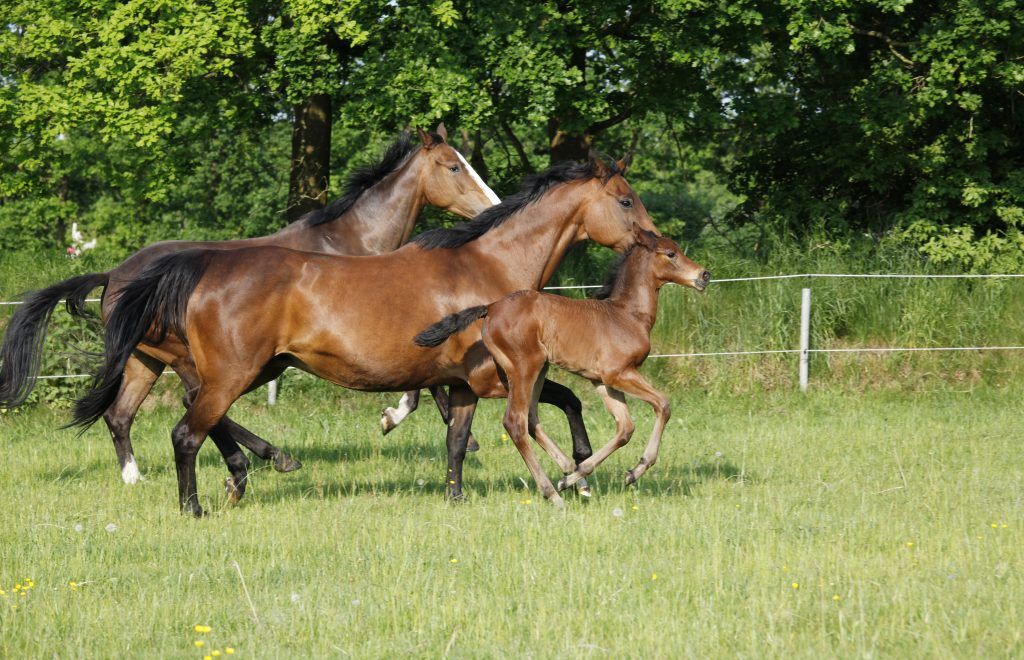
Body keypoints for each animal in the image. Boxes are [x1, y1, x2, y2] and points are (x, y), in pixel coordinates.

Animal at [0, 124, 497, 482]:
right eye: (454, 167)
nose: (493, 205)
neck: (348, 241)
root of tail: (114, 277)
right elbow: (419, 384)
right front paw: (399, 420)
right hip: (190, 358)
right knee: (193, 402)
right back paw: (274, 457)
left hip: (147, 359)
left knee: (122, 415)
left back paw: (135, 478)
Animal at [411, 230, 708, 505]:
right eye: (670, 253)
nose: (704, 275)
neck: (627, 315)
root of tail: (491, 307)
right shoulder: (620, 373)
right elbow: (663, 404)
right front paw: (637, 468)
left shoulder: (602, 381)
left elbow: (625, 428)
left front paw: (588, 476)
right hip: (524, 368)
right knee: (515, 422)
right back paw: (552, 493)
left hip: (537, 370)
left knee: (531, 420)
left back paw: (566, 475)